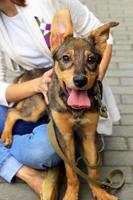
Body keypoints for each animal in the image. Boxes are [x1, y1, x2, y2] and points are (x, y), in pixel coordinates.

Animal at [1, 8, 118, 200]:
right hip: (37, 108)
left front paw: (101, 193)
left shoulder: (88, 135)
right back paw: (6, 136)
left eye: (92, 59)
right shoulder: (64, 136)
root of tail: (27, 73)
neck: (74, 110)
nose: (80, 81)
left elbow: (93, 170)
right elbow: (71, 171)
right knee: (12, 112)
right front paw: (71, 194)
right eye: (65, 58)